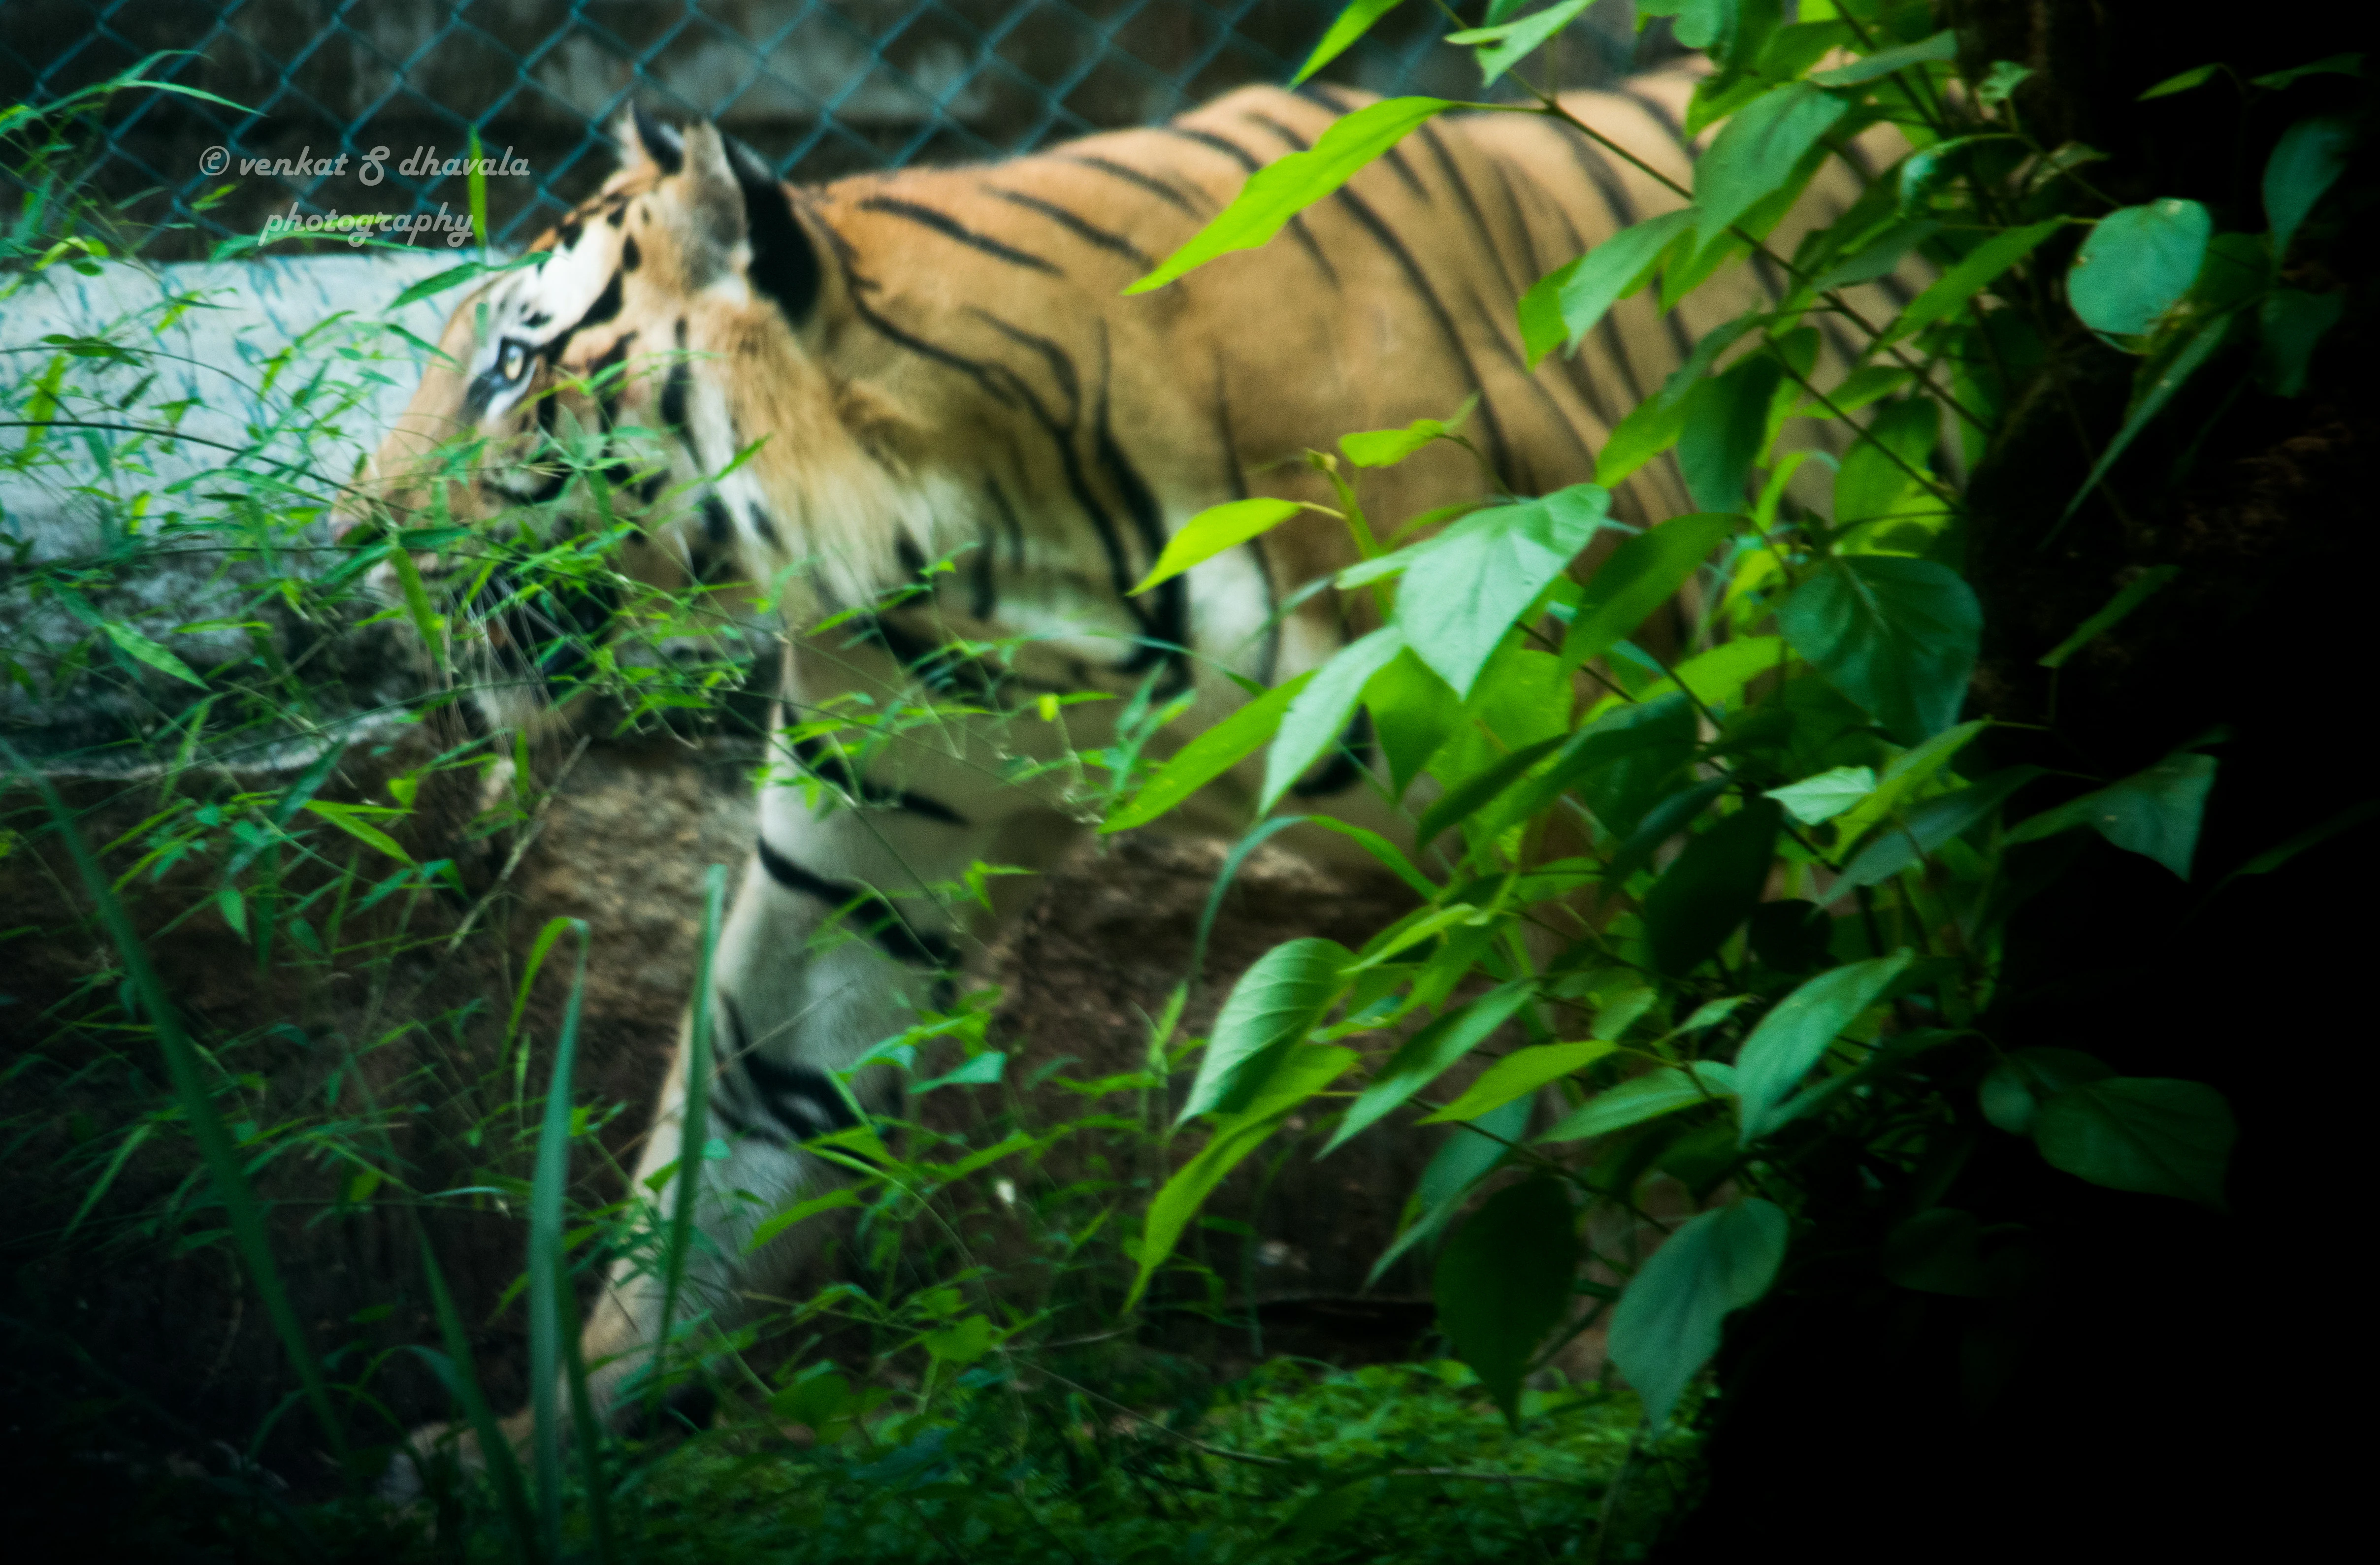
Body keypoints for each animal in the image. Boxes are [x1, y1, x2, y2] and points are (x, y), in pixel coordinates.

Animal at [355, 69, 1916, 1483]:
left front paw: (1616, 1380)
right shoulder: (862, 851)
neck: (976, 561)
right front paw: (549, 1432)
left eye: (513, 367)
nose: (351, 536)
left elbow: (1632, 1080)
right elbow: (739, 1118)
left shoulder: (1586, 763)